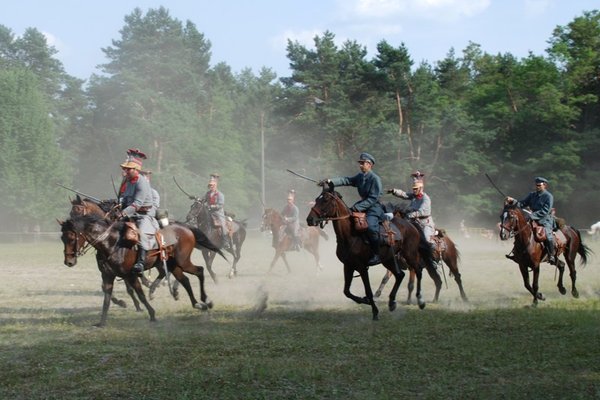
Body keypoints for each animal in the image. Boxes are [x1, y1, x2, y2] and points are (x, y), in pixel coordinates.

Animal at [308, 183, 434, 320]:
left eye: (325, 200)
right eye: (317, 199)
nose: (309, 219)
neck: (350, 235)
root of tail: (410, 224)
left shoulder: (362, 267)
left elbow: (368, 290)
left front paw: (375, 311)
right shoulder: (348, 265)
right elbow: (347, 291)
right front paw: (366, 301)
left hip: (410, 254)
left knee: (418, 271)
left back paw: (420, 301)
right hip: (388, 259)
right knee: (400, 275)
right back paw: (391, 302)